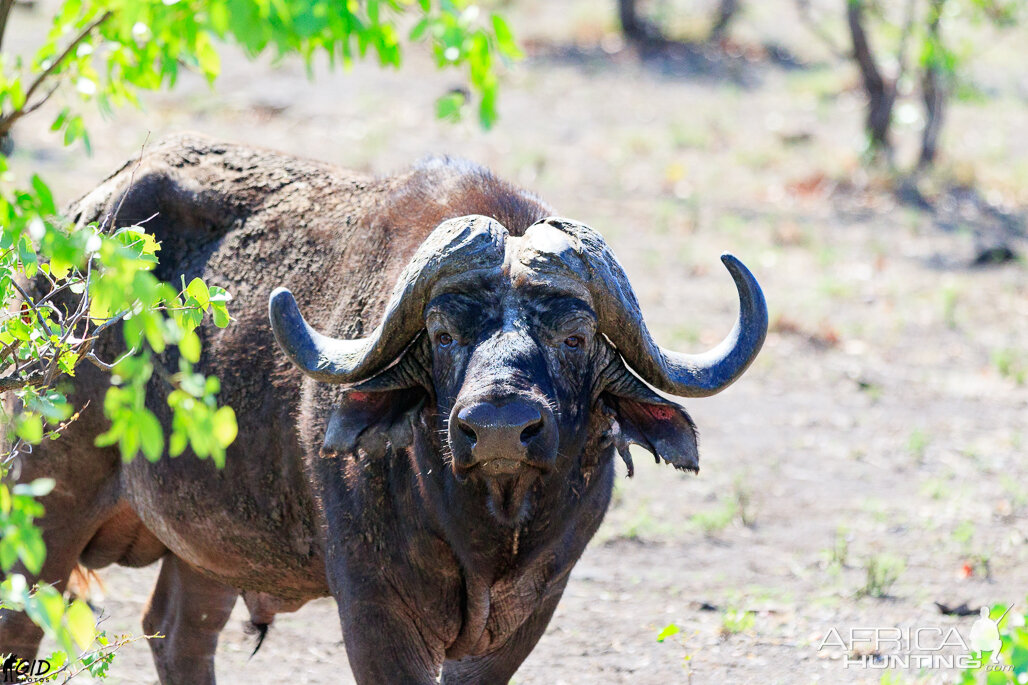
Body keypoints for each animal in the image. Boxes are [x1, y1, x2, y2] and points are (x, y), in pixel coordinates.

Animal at [0, 134, 764, 682]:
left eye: (574, 336)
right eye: (444, 333)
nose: (499, 428)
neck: (485, 529)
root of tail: (67, 242)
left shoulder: (526, 616)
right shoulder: (377, 611)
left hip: (209, 543)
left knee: (180, 633)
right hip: (43, 498)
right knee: (23, 627)